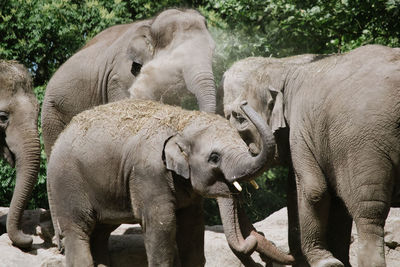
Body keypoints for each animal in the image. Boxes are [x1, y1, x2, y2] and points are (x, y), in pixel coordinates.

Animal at [46, 99, 294, 267]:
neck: (182, 122)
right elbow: (162, 224)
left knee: (100, 233)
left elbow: (193, 226)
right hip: (67, 183)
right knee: (77, 231)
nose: (242, 103)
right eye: (214, 158)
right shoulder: (149, 174)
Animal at [222, 45, 400, 266]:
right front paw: (336, 260)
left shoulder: (301, 126)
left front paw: (327, 262)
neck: (288, 67)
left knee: (369, 212)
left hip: (366, 146)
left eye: (239, 118)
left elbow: (312, 189)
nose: (263, 242)